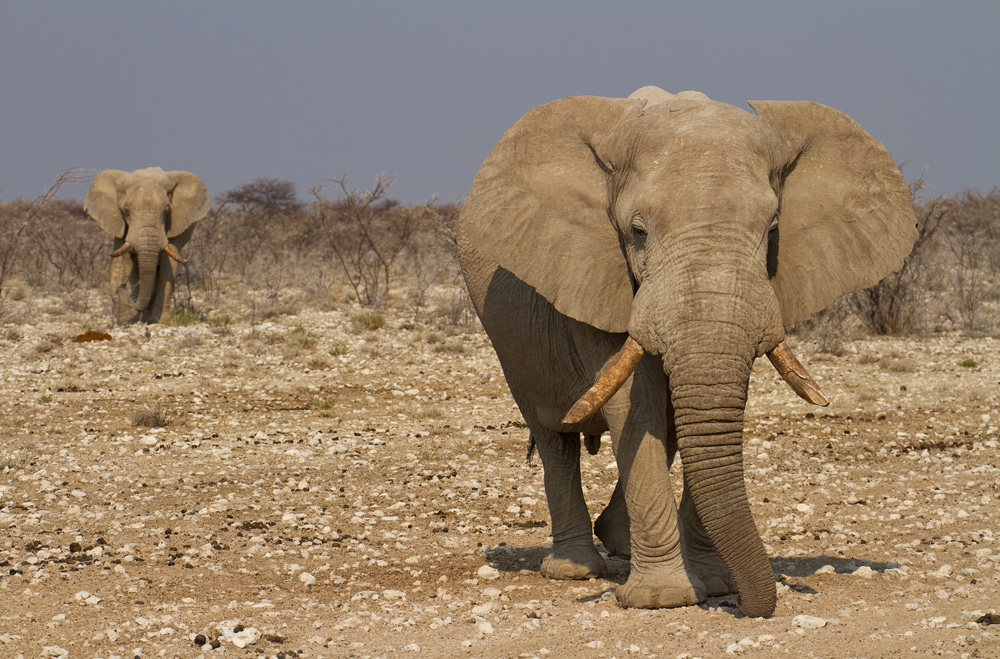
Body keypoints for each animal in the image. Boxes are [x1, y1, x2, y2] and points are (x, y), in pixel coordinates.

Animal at [84, 166, 211, 324]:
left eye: (166, 211)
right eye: (126, 211)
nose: (122, 287)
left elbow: (168, 265)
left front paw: (158, 319)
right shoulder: (120, 226)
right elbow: (119, 261)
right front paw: (130, 317)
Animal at [458, 84, 916, 620]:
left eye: (773, 230)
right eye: (637, 232)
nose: (754, 607)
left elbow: (714, 407)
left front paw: (715, 585)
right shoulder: (598, 269)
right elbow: (637, 403)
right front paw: (663, 600)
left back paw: (621, 543)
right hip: (511, 342)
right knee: (555, 437)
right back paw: (574, 569)